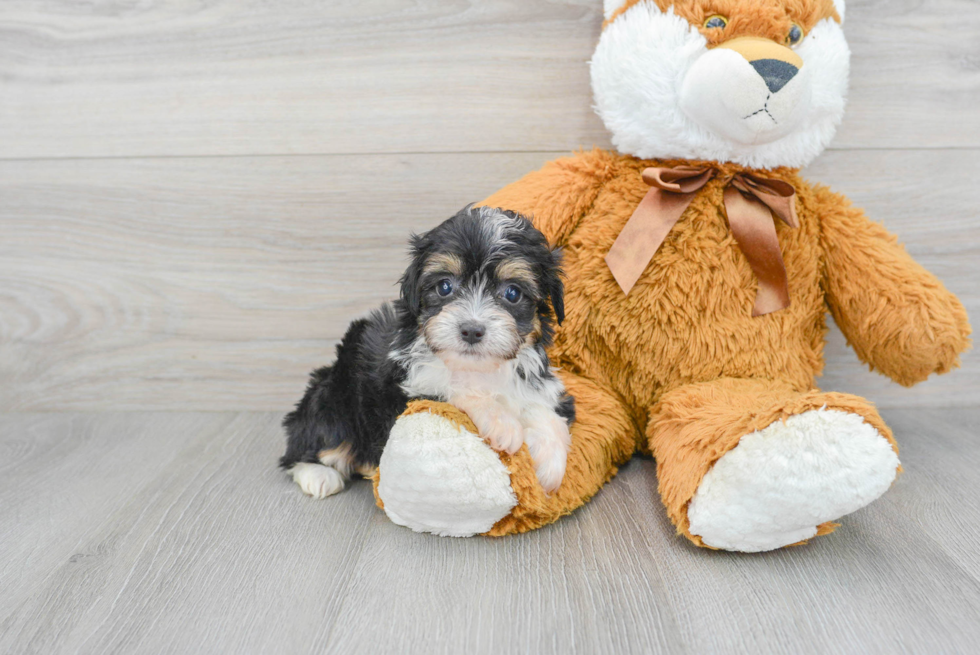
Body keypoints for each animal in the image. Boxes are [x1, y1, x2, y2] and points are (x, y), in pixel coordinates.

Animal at [282, 205, 576, 498]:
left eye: (513, 293)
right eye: (444, 286)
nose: (471, 330)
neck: (478, 368)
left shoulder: (539, 383)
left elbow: (545, 411)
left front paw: (549, 464)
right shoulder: (404, 391)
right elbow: (450, 387)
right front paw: (502, 422)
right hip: (334, 399)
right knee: (312, 442)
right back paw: (319, 475)